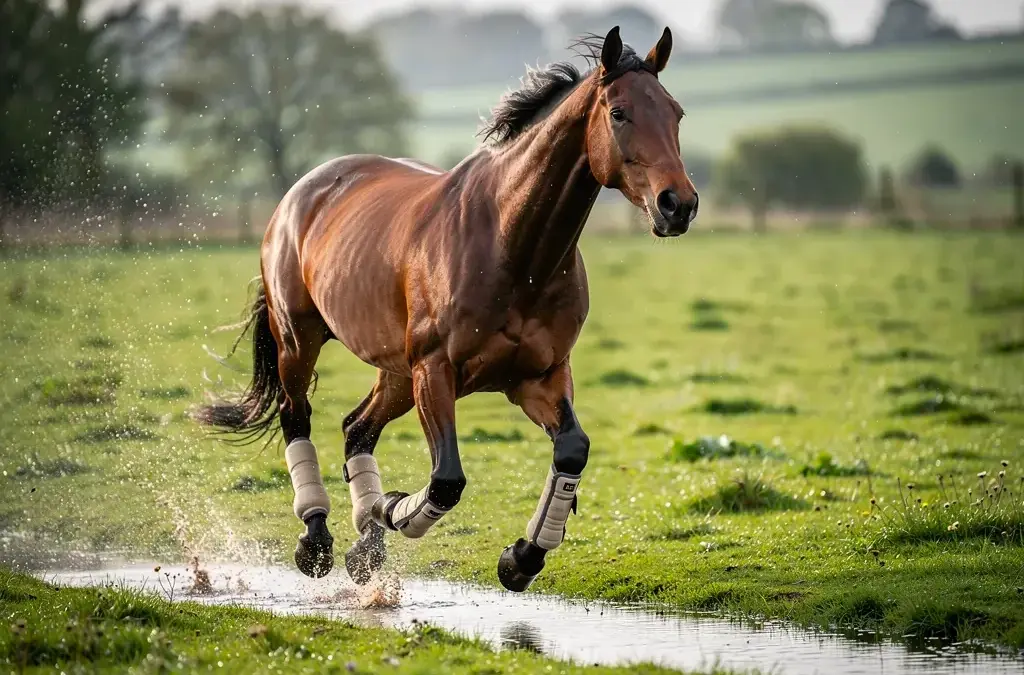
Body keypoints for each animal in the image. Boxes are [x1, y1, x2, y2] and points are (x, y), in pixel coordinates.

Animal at [194, 25, 698, 592]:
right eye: (618, 112)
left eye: (676, 112)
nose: (678, 204)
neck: (512, 247)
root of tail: (301, 193)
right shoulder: (435, 371)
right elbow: (446, 481)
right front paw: (390, 508)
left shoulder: (538, 376)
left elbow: (571, 449)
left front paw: (521, 558)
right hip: (301, 342)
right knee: (296, 414)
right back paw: (318, 541)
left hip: (395, 372)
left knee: (356, 428)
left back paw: (366, 548)